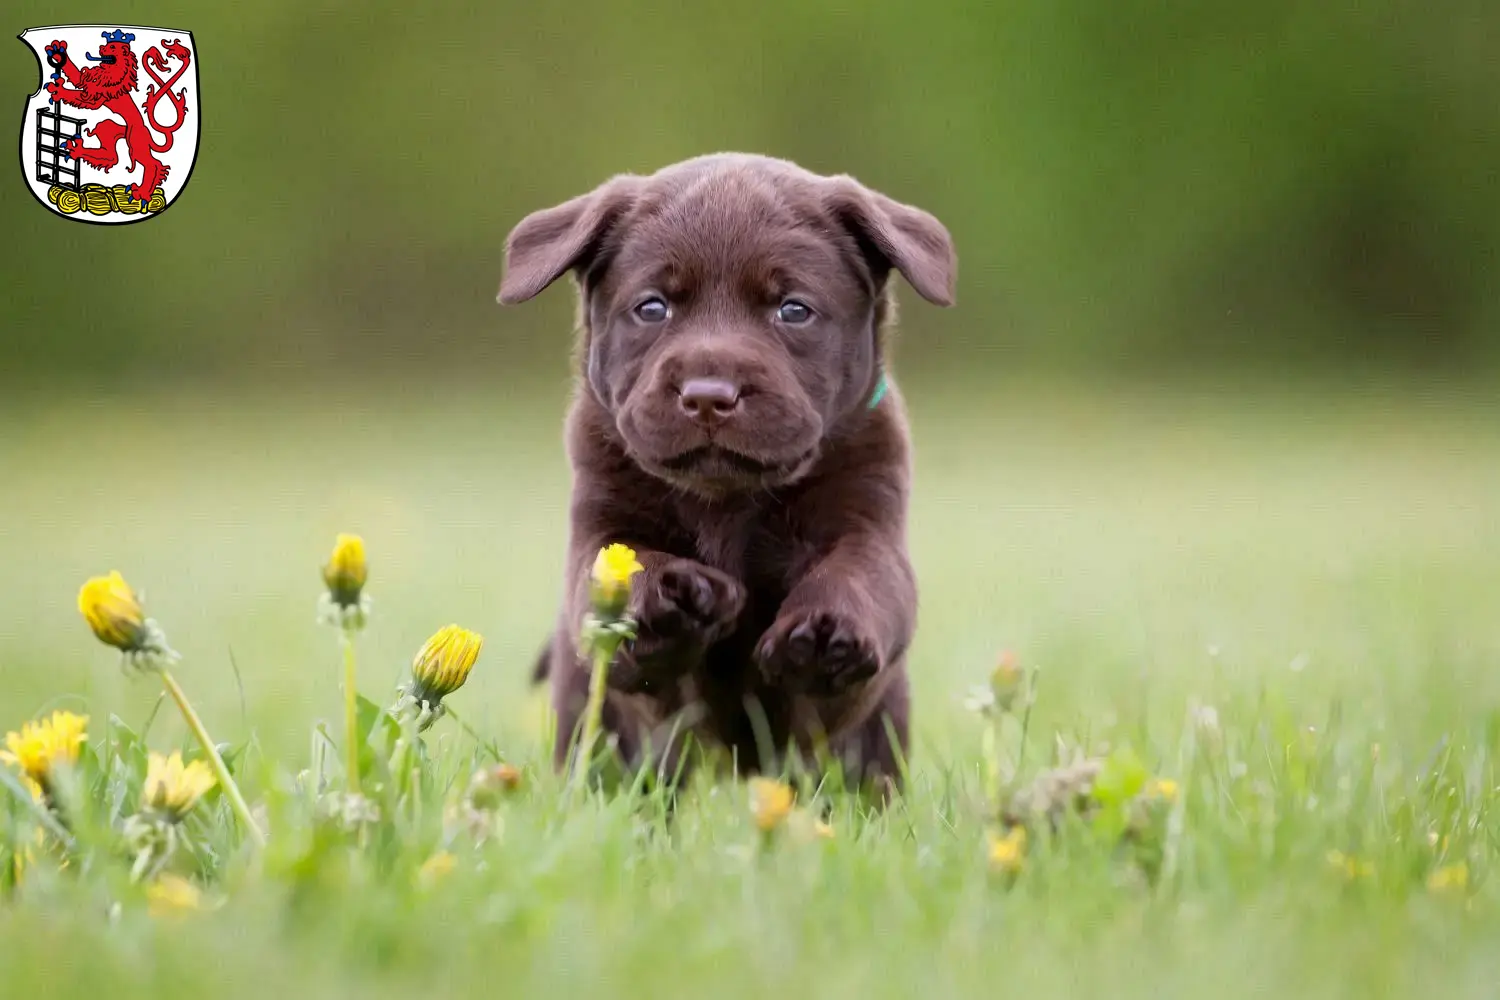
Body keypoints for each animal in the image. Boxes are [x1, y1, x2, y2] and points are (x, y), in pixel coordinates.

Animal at [43, 29, 190, 205]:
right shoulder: (88, 83)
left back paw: (141, 193)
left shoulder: (96, 98)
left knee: (153, 164)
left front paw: (58, 90)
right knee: (111, 155)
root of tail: (148, 134)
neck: (113, 73)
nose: (101, 48)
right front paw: (58, 52)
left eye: (112, 47)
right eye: (107, 45)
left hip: (135, 144)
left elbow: (79, 96)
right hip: (108, 129)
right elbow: (77, 77)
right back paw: (77, 150)